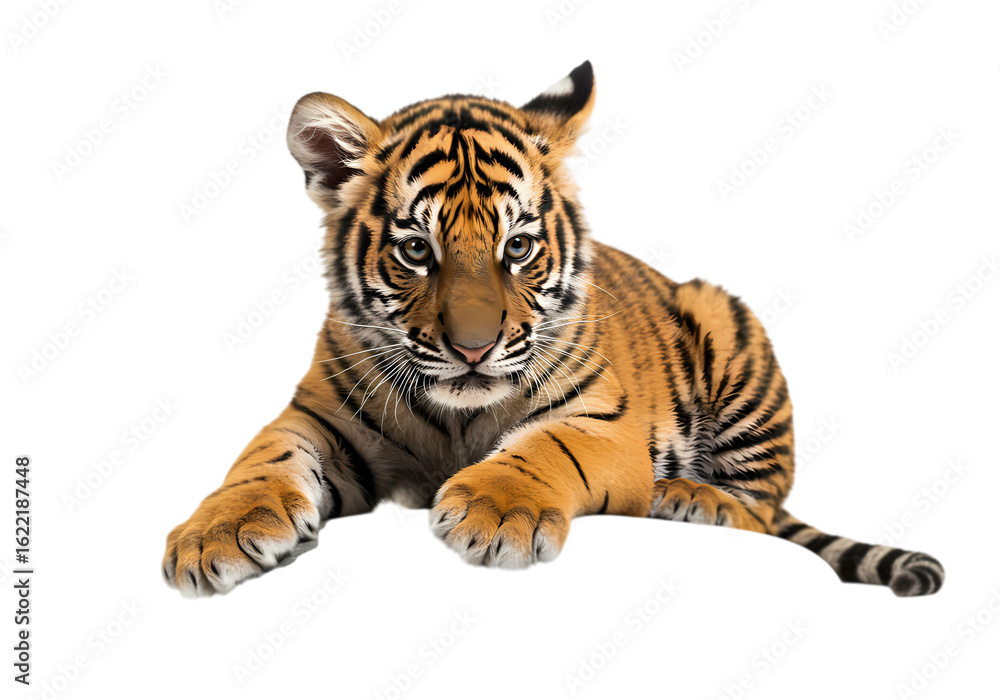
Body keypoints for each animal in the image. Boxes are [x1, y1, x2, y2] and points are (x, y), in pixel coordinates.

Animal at [162, 61, 944, 598]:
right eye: (416, 249)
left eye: (517, 247)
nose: (473, 347)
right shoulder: (318, 416)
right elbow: (260, 460)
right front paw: (217, 533)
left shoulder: (604, 421)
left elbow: (547, 448)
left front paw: (493, 512)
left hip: (727, 325)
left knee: (764, 506)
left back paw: (693, 499)